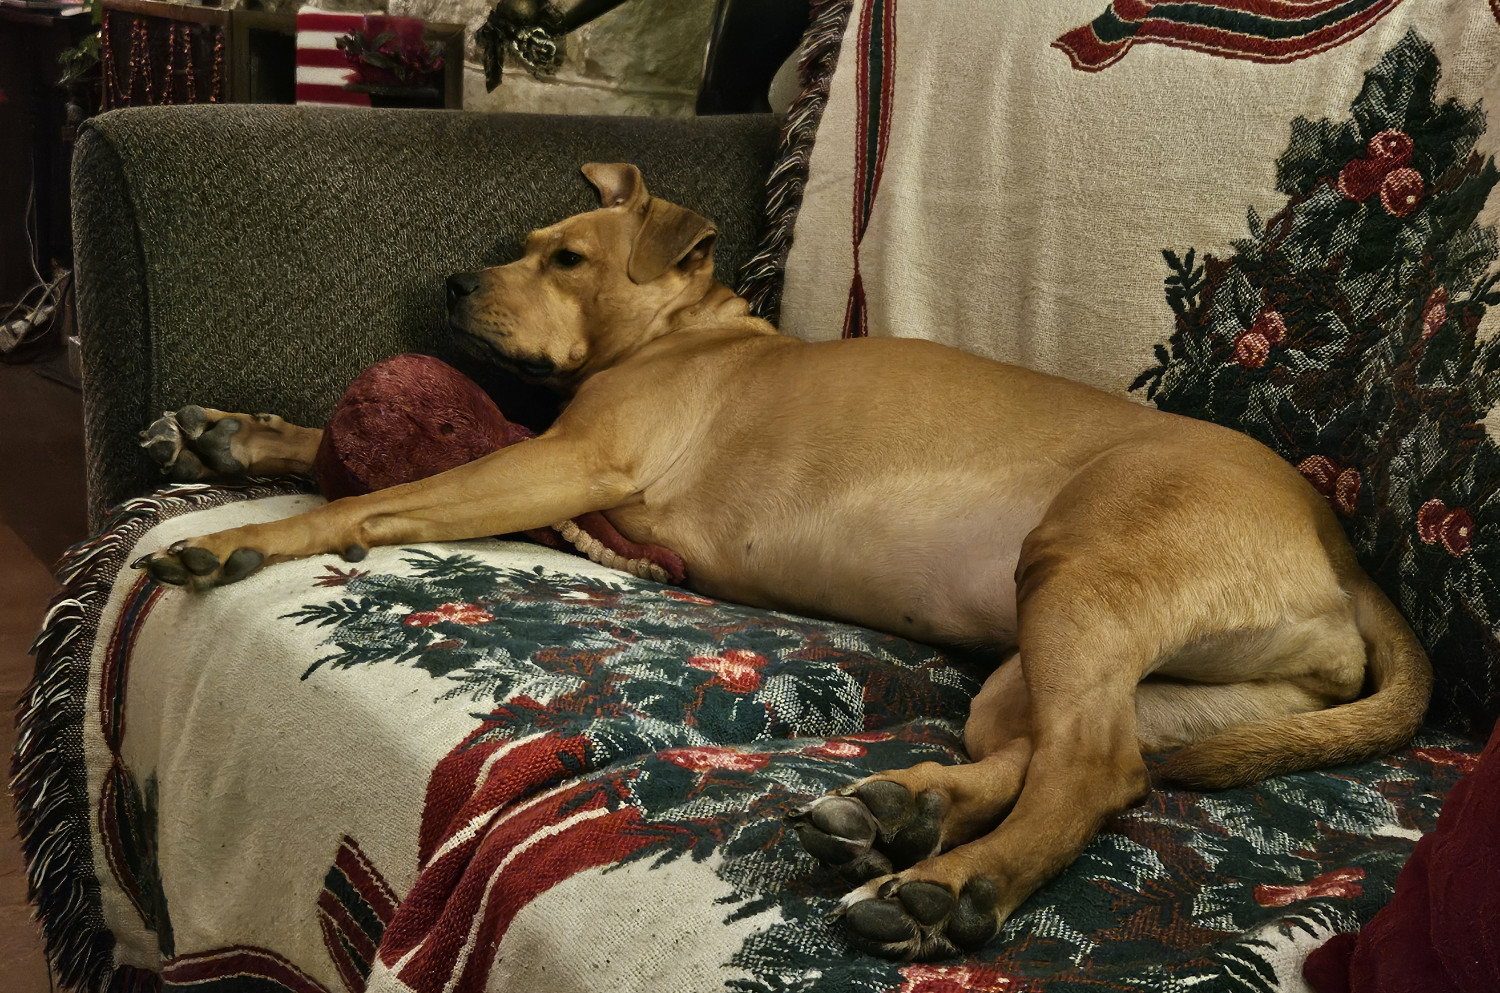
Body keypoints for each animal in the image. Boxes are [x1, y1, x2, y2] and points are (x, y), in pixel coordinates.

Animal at [138, 163, 1428, 966]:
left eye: (568, 260)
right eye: (527, 252)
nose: (454, 286)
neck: (685, 330)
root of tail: (1342, 548)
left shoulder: (572, 460)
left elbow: (384, 497)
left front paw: (243, 534)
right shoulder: (551, 462)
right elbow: (366, 456)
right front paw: (240, 438)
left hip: (1078, 572)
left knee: (1094, 772)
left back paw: (947, 884)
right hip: (1082, 666)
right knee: (1079, 756)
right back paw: (900, 813)